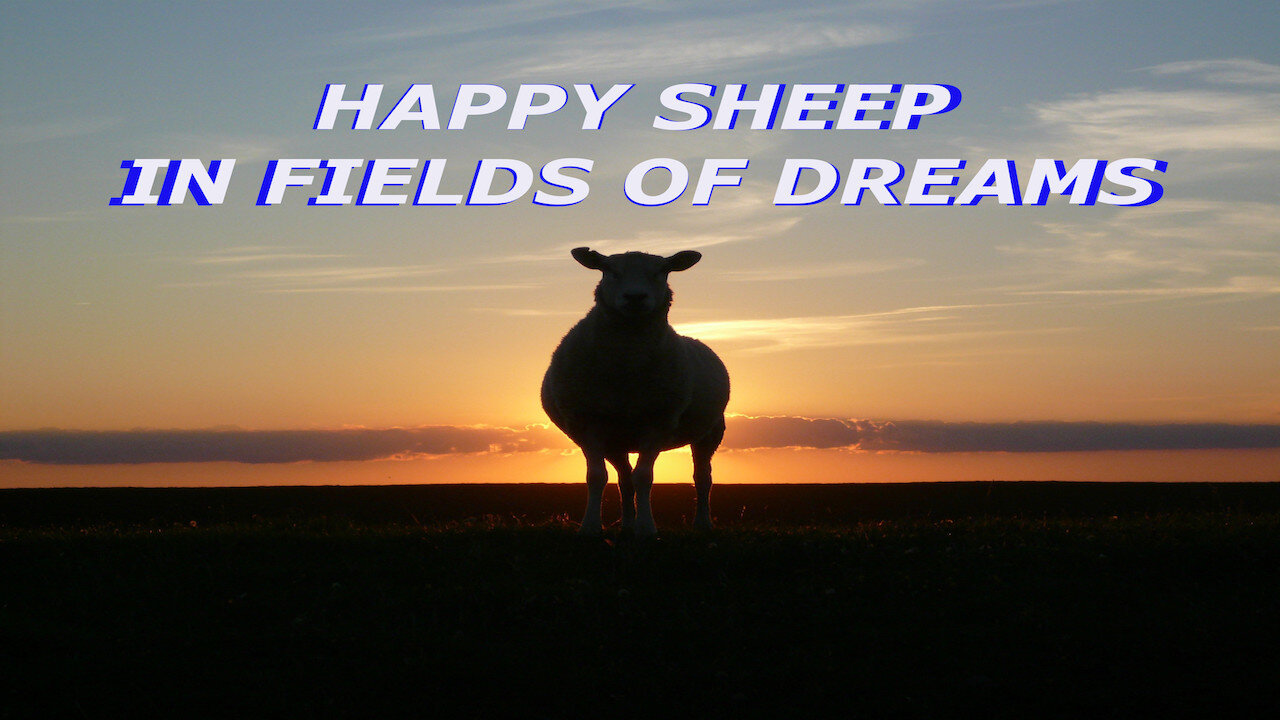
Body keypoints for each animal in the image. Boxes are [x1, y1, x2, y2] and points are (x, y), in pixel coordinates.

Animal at [542, 246, 730, 537]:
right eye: (609, 270)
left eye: (662, 271)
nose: (635, 297)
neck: (626, 367)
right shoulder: (588, 423)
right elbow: (597, 477)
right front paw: (591, 526)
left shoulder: (658, 422)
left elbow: (644, 477)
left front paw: (646, 528)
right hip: (616, 440)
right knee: (624, 478)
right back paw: (627, 525)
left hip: (711, 432)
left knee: (702, 478)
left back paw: (702, 523)